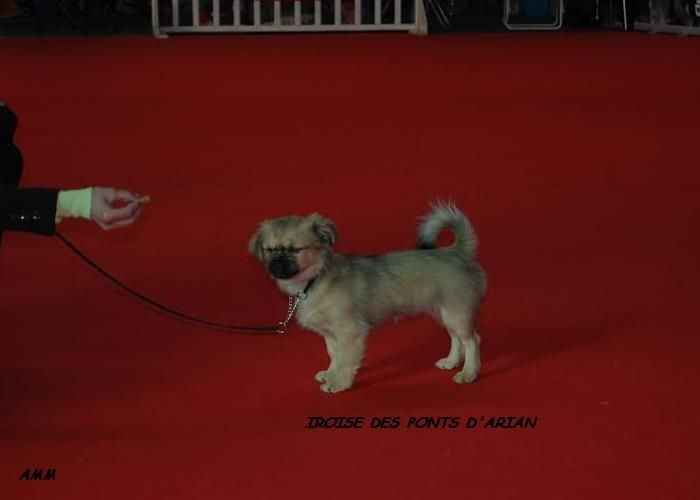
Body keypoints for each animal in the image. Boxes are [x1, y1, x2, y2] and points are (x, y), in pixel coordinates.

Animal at [248, 202, 487, 393]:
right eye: (268, 250)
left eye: (296, 250)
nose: (276, 263)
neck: (315, 281)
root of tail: (457, 252)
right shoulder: (331, 334)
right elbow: (335, 355)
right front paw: (331, 373)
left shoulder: (350, 331)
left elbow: (346, 359)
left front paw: (339, 383)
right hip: (444, 312)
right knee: (456, 338)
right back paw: (451, 362)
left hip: (456, 311)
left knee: (472, 340)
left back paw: (468, 373)